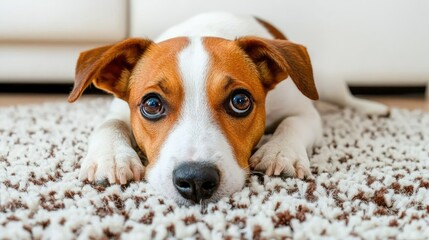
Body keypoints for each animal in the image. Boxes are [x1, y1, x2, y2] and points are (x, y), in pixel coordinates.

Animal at [67, 12, 388, 205]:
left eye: (240, 101)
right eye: (152, 104)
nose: (195, 180)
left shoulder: (304, 111)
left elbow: (293, 123)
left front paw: (279, 152)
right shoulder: (117, 111)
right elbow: (109, 124)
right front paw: (112, 158)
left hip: (322, 80)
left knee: (345, 96)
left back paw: (373, 108)